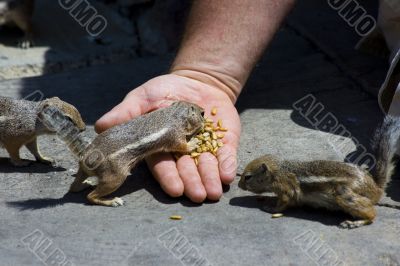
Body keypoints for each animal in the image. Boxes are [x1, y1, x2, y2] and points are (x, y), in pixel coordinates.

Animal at [239, 115, 398, 230]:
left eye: (248, 177)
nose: (239, 185)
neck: (279, 171)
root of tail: (376, 186)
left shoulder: (286, 188)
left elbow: (284, 202)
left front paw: (271, 208)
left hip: (344, 193)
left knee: (372, 214)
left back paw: (354, 222)